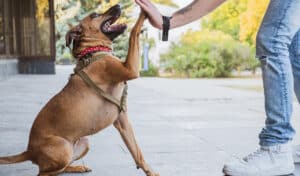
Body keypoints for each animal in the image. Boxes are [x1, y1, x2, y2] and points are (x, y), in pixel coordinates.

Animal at [0, 4, 159, 176]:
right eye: (95, 15)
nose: (118, 5)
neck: (93, 51)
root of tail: (29, 151)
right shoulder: (130, 69)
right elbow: (134, 31)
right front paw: (145, 11)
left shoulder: (122, 120)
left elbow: (137, 152)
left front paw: (150, 172)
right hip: (63, 148)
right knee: (44, 173)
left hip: (84, 142)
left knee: (60, 169)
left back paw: (78, 167)